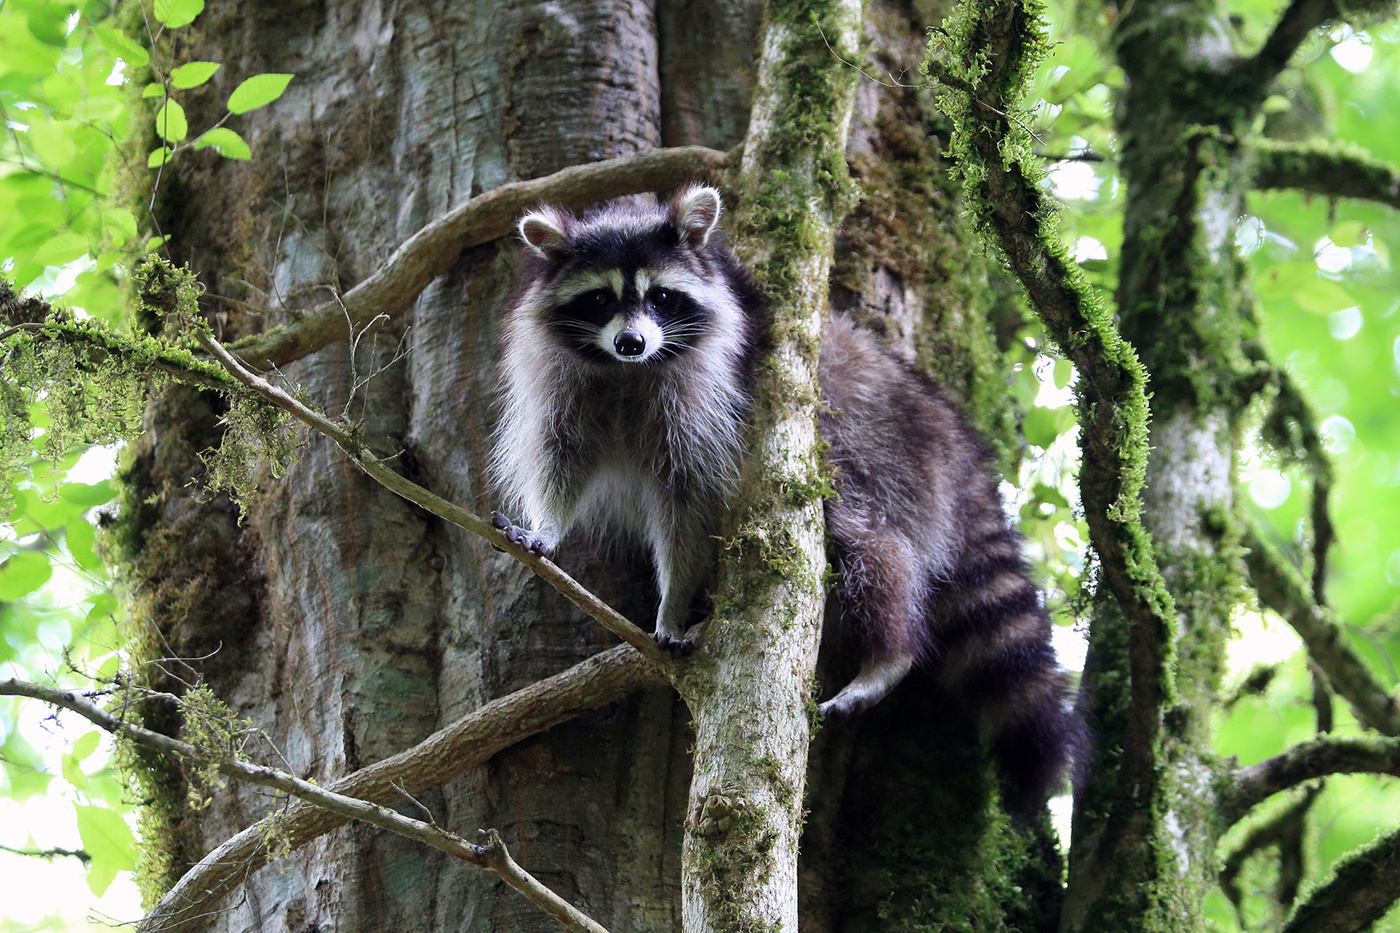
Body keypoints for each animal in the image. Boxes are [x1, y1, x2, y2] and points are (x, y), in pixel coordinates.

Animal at [490, 183, 1080, 806]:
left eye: (662, 297)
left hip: (875, 446)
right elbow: (562, 459)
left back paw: (889, 655)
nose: (631, 342)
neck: (628, 371)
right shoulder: (565, 384)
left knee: (869, 546)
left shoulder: (709, 398)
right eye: (601, 299)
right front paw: (548, 526)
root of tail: (949, 430)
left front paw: (675, 599)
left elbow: (690, 504)